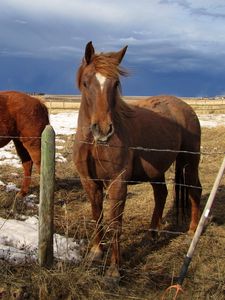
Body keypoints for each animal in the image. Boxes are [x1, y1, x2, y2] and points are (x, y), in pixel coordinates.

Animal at [74, 41, 202, 278]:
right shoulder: (89, 182)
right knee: (161, 194)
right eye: (86, 83)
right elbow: (97, 214)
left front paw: (114, 271)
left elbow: (116, 223)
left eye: (115, 83)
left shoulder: (118, 182)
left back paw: (191, 231)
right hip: (157, 170)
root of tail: (185, 106)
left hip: (190, 162)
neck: (93, 144)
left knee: (194, 190)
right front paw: (96, 252)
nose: (103, 130)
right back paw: (151, 234)